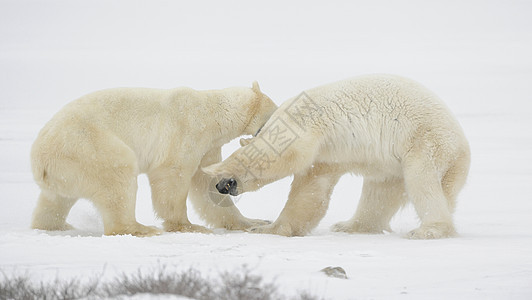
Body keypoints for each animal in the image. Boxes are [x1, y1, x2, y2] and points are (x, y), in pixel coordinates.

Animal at [30, 82, 276, 237]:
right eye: (275, 111)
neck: (213, 112)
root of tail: (39, 161)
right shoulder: (187, 129)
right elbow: (172, 175)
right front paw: (187, 226)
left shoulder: (208, 146)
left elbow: (208, 184)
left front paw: (255, 221)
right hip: (87, 147)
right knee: (118, 175)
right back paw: (141, 228)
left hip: (64, 172)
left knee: (54, 202)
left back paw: (55, 226)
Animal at [204, 74, 470, 239]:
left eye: (227, 182)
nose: (221, 186)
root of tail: (463, 149)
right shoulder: (326, 154)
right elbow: (311, 190)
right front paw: (277, 227)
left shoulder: (305, 124)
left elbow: (279, 154)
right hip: (390, 163)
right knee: (379, 193)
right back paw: (351, 225)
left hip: (424, 142)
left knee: (422, 182)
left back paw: (429, 230)